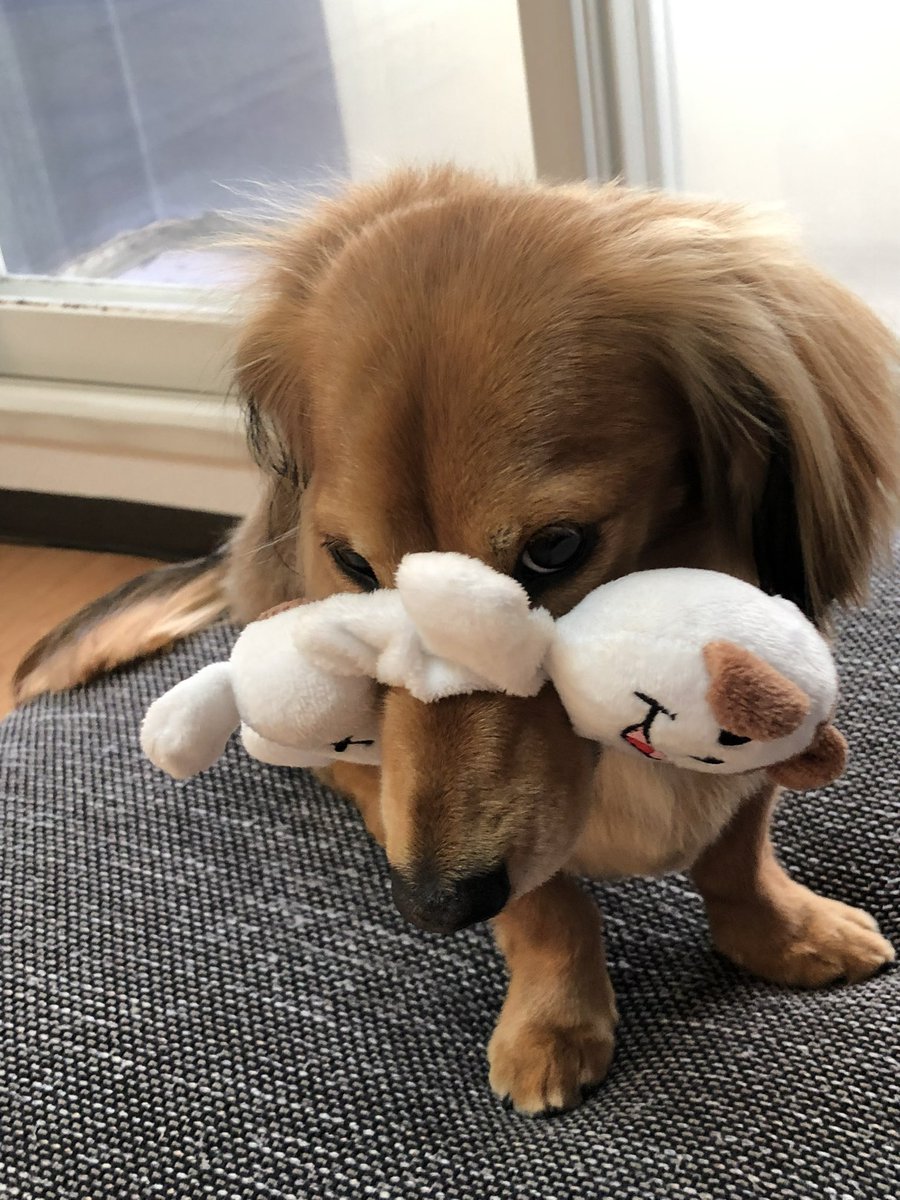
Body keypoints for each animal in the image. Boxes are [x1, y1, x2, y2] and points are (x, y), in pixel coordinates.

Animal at [16, 166, 899, 1114]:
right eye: (353, 563)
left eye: (556, 548)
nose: (432, 907)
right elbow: (547, 910)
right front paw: (554, 1023)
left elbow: (736, 852)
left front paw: (783, 934)